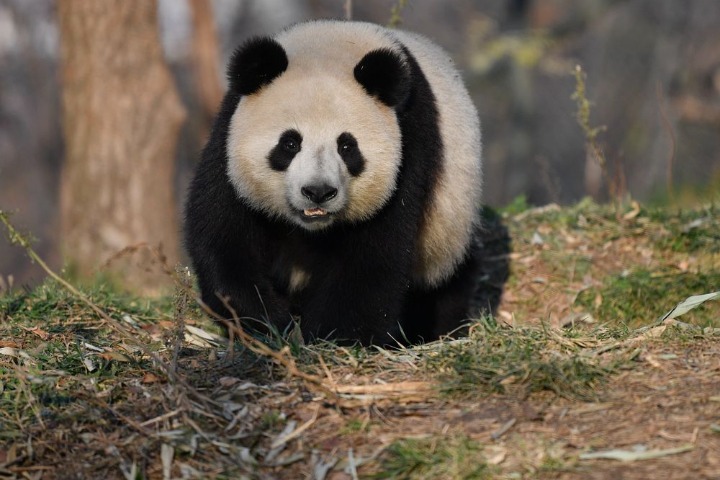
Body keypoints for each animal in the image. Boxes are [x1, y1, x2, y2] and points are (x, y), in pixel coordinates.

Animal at [184, 20, 486, 345]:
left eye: (347, 146)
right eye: (290, 143)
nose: (318, 192)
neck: (329, 46)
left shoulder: (409, 146)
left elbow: (372, 256)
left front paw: (332, 339)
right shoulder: (228, 139)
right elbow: (224, 236)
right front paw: (269, 325)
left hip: (449, 222)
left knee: (444, 284)